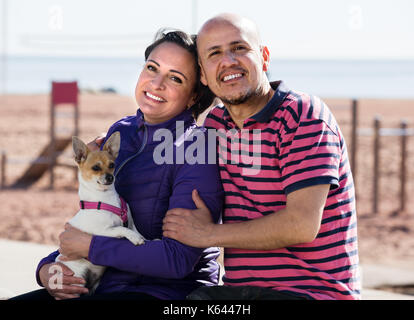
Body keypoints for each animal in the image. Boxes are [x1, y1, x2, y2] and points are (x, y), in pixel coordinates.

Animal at [55, 131, 145, 294]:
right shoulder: (103, 231)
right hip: (76, 281)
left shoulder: (130, 222)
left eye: (112, 165)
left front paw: (150, 239)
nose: (110, 177)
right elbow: (121, 228)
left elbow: (136, 230)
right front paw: (135, 238)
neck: (105, 199)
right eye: (96, 167)